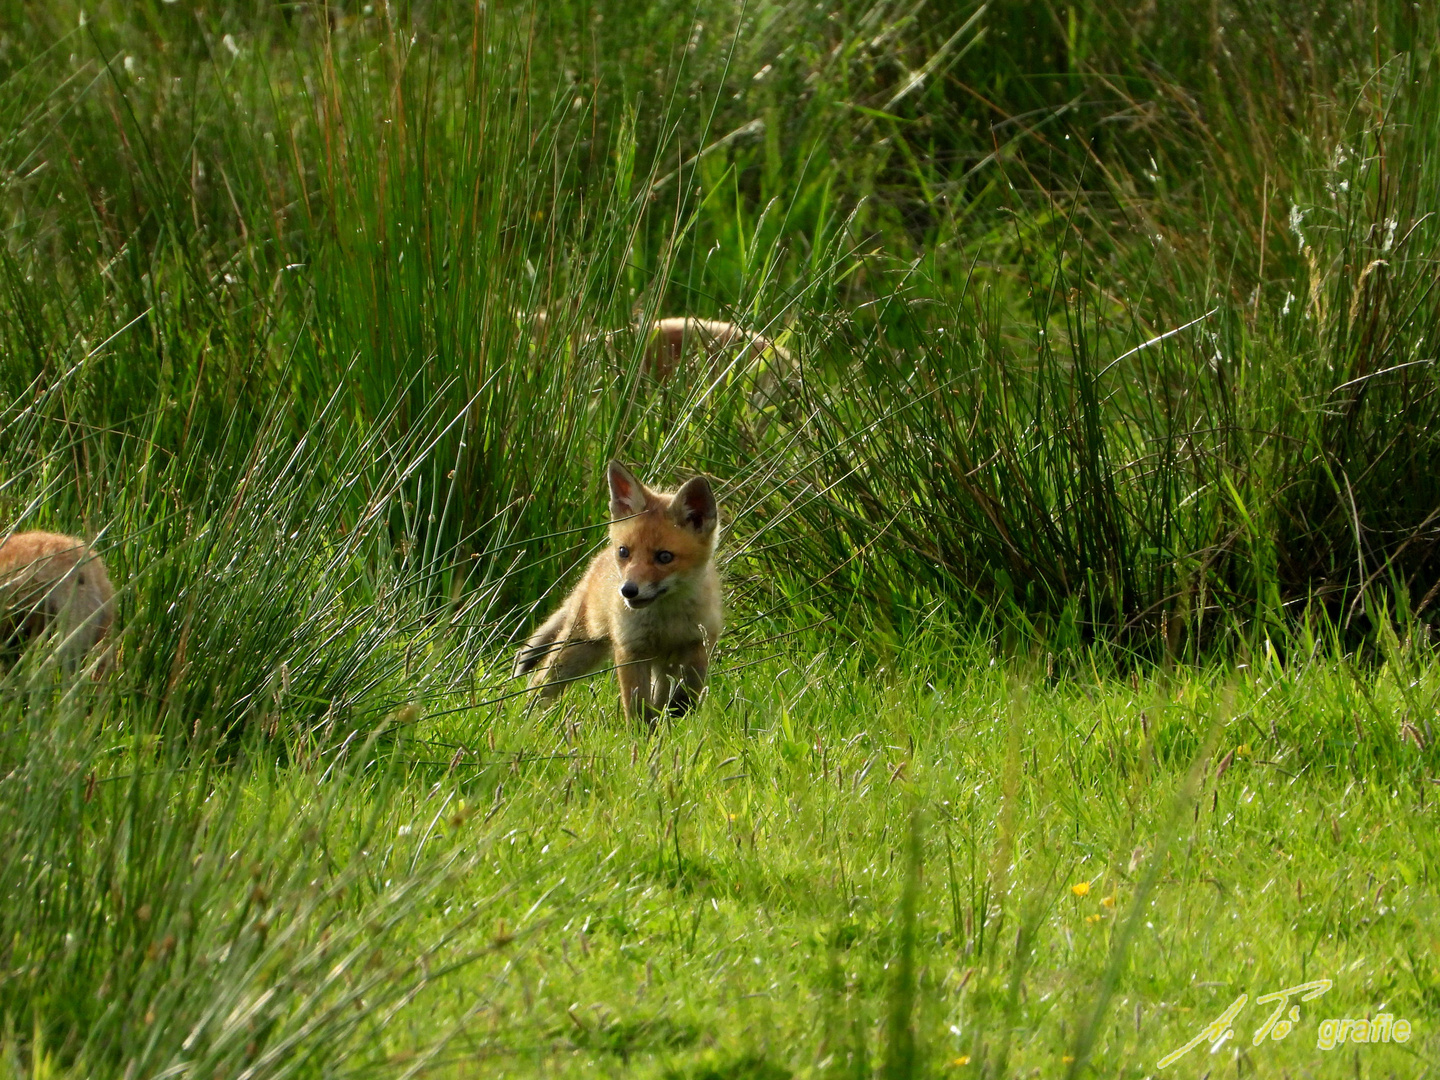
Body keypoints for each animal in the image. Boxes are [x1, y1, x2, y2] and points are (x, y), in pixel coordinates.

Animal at [515, 460, 725, 722]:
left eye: (664, 557)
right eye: (624, 552)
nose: (628, 590)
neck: (666, 622)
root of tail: (592, 566)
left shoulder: (697, 645)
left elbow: (682, 700)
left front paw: (676, 724)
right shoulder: (631, 649)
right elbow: (637, 709)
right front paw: (641, 733)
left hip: (656, 665)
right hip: (577, 650)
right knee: (541, 683)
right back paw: (526, 719)